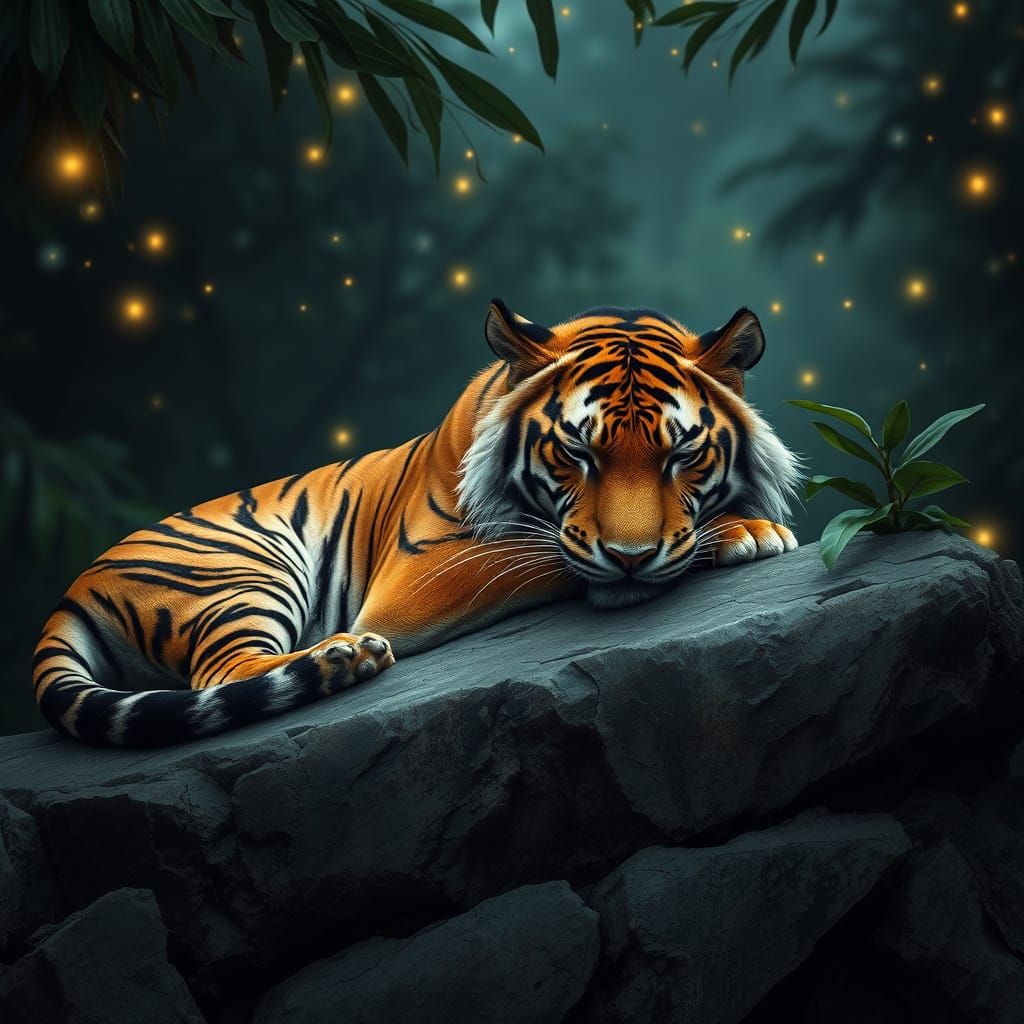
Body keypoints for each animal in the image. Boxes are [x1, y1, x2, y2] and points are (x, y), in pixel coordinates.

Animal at [33, 300, 801, 747]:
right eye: (577, 453)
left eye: (682, 454)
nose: (632, 558)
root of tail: (72, 585)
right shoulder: (425, 573)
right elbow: (542, 552)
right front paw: (744, 532)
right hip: (241, 572)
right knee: (222, 671)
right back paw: (342, 658)